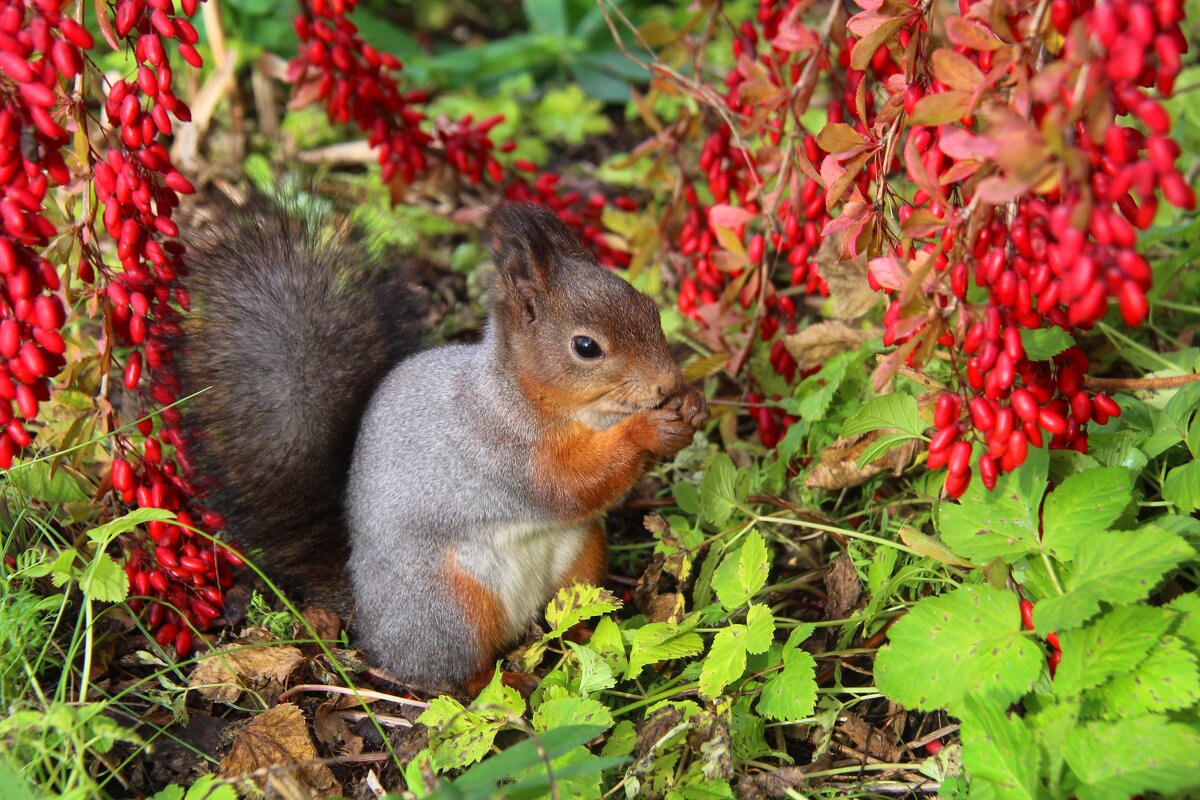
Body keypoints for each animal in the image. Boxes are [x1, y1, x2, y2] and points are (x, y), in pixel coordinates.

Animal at [174, 196, 705, 690]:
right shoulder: (497, 445)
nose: (667, 382)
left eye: (650, 307)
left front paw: (692, 405)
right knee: (461, 677)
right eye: (586, 347)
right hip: (451, 607)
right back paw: (510, 682)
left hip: (581, 559)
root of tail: (369, 625)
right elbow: (571, 487)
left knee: (569, 617)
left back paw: (594, 640)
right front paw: (646, 429)